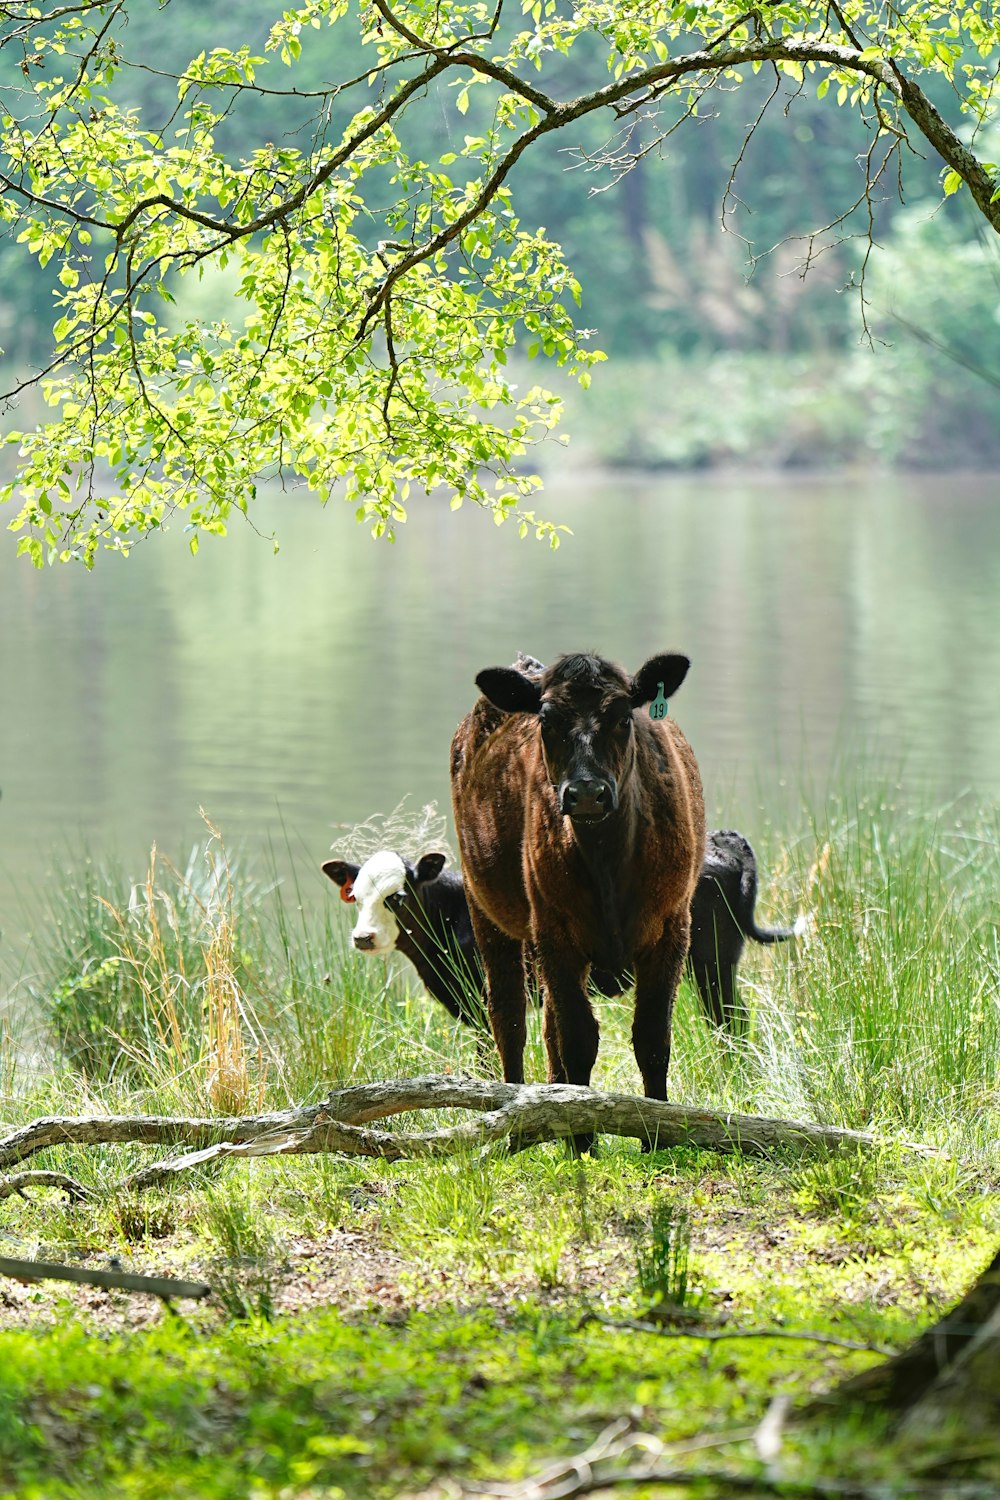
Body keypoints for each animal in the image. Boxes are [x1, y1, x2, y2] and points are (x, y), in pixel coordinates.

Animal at [452, 651, 704, 1140]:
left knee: (546, 1021)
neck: (608, 860)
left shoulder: (672, 927)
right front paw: (581, 1136)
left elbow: (652, 1037)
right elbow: (579, 1037)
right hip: (484, 905)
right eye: (547, 719)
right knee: (509, 1015)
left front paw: (657, 1136)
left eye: (624, 716)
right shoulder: (556, 931)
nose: (587, 793)